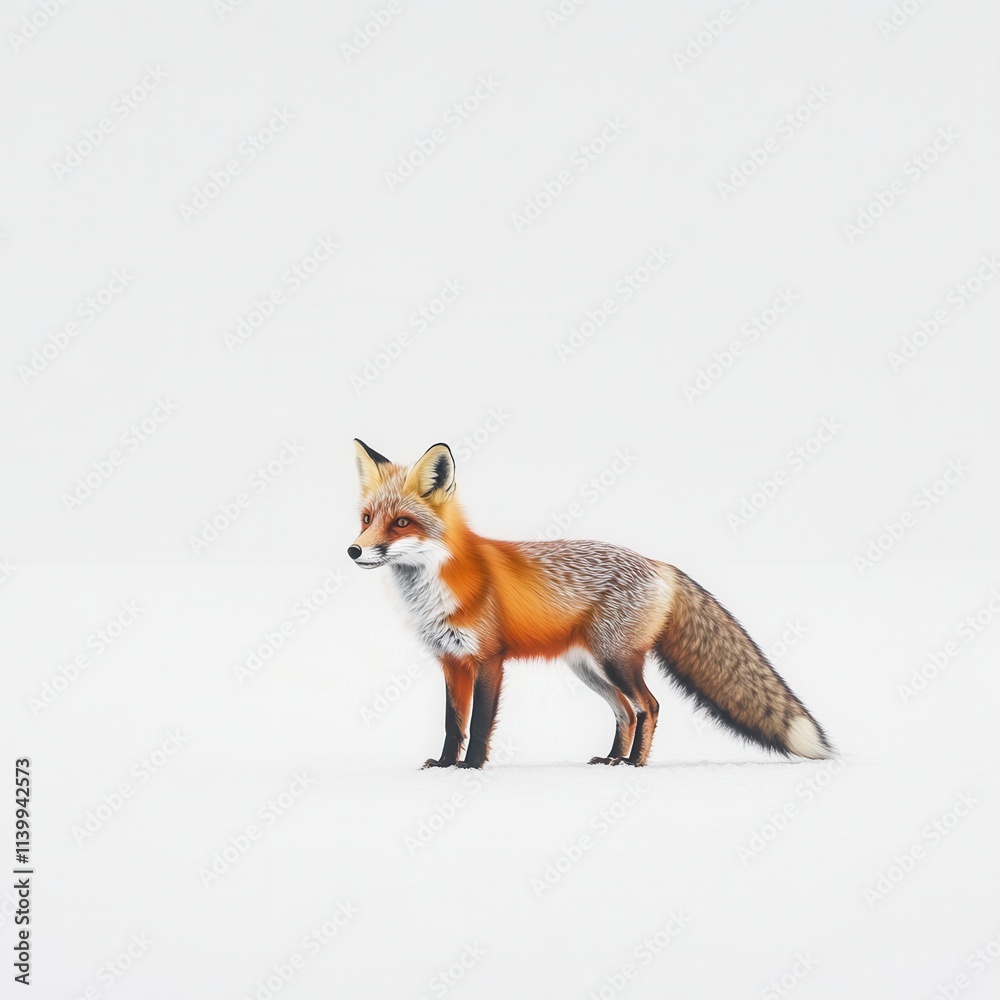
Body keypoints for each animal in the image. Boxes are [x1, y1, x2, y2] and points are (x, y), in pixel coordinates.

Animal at [349, 439, 833, 769]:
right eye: (367, 519)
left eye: (402, 523)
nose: (354, 550)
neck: (438, 587)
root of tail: (659, 564)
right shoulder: (450, 660)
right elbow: (454, 723)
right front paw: (446, 765)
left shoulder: (488, 658)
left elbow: (481, 722)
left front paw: (471, 767)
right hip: (589, 667)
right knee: (626, 711)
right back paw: (613, 759)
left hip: (616, 660)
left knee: (649, 706)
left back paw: (636, 764)